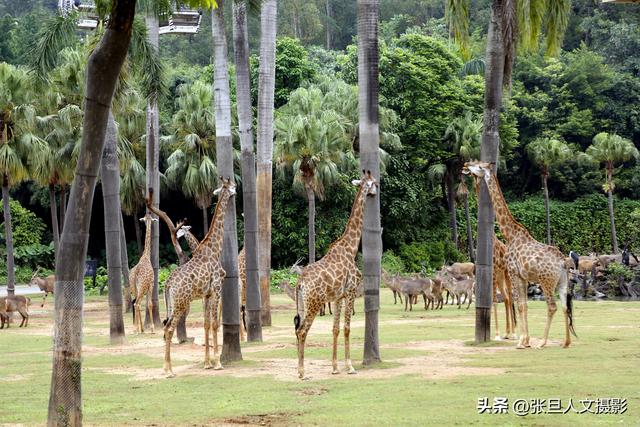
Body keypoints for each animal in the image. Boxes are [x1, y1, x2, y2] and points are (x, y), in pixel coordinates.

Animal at [164, 177, 236, 378]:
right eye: (233, 186)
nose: (236, 191)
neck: (214, 247)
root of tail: (168, 284)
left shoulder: (207, 294)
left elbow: (206, 324)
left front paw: (207, 363)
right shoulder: (217, 288)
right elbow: (215, 324)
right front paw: (218, 363)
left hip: (172, 304)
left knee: (165, 328)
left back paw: (166, 368)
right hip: (181, 303)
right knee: (169, 329)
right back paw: (169, 371)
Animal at [294, 170, 378, 378]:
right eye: (375, 184)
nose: (376, 192)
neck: (351, 247)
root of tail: (300, 282)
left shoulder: (338, 297)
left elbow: (335, 329)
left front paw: (334, 367)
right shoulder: (351, 291)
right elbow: (347, 328)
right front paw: (350, 366)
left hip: (303, 303)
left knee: (298, 329)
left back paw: (300, 369)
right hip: (314, 303)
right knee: (302, 331)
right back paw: (302, 372)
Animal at [462, 162, 576, 350]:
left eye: (478, 166)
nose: (465, 165)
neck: (510, 235)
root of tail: (564, 262)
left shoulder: (514, 272)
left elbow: (520, 305)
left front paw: (522, 342)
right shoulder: (523, 276)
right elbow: (524, 305)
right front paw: (526, 340)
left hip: (546, 281)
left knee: (551, 306)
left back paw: (543, 342)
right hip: (562, 282)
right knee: (565, 306)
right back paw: (566, 342)